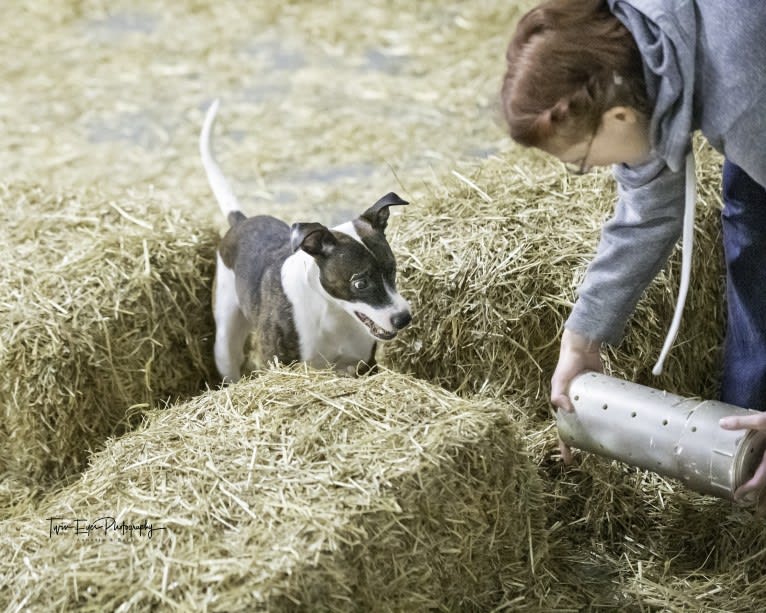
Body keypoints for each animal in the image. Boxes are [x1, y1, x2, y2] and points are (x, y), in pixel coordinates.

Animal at [201, 98, 412, 380]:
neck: (334, 313)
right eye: (360, 283)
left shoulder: (366, 366)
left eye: (393, 270)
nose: (404, 318)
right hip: (225, 341)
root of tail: (242, 221)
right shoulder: (277, 363)